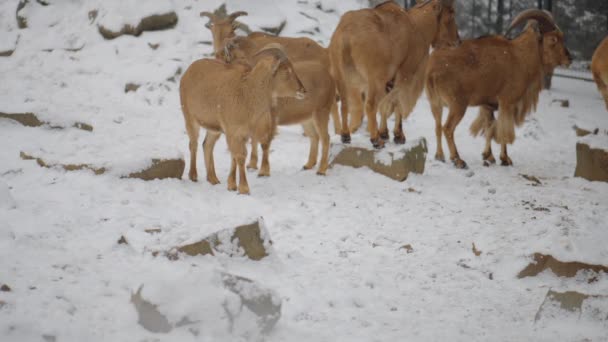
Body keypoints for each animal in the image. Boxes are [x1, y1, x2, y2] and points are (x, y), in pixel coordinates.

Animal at [330, 0, 458, 148]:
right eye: (451, 14)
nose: (457, 40)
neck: (418, 28)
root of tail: (347, 33)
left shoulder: (390, 80)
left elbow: (386, 105)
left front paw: (384, 133)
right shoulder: (406, 75)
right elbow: (397, 103)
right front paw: (398, 136)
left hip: (341, 76)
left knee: (345, 104)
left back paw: (345, 135)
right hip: (375, 80)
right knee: (370, 105)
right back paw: (375, 140)